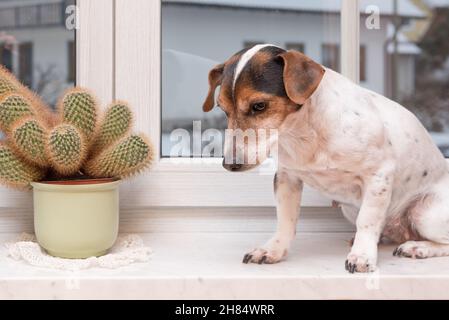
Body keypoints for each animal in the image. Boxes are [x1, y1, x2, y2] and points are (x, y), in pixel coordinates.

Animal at [201, 43, 448, 272]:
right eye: (223, 109)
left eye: (259, 106)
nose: (229, 164)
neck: (303, 132)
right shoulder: (287, 178)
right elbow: (285, 220)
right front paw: (273, 250)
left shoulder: (379, 175)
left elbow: (367, 220)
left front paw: (362, 256)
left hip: (424, 213)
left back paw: (418, 247)